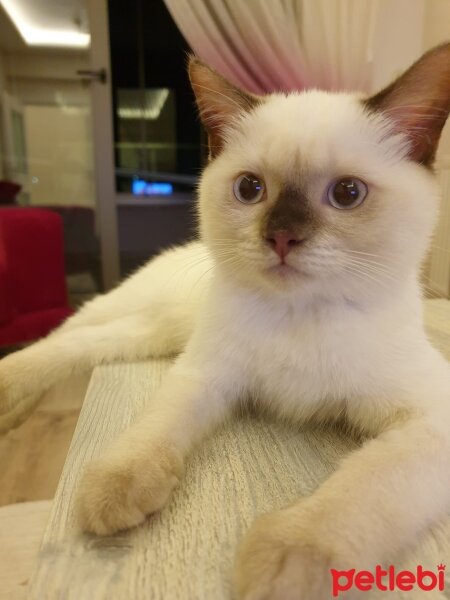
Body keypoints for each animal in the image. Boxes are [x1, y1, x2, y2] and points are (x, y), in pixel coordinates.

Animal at [0, 43, 450, 600]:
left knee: (88, 342)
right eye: (250, 189)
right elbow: (154, 429)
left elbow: (359, 490)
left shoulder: (430, 419)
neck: (300, 315)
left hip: (149, 335)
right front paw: (113, 489)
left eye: (348, 193)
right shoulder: (206, 375)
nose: (281, 237)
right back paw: (9, 397)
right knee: (63, 335)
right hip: (140, 315)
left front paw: (284, 564)